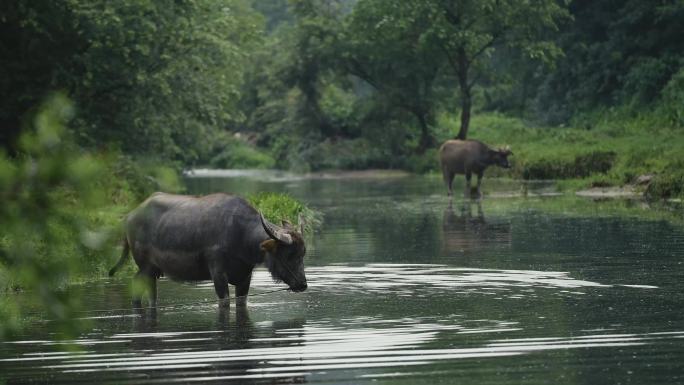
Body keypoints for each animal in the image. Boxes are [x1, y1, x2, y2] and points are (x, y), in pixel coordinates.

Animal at [109, 192, 308, 306]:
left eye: (303, 254)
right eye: (289, 255)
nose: (302, 285)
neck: (240, 234)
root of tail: (130, 216)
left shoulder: (245, 277)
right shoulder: (218, 273)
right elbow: (224, 302)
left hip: (153, 270)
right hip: (144, 266)